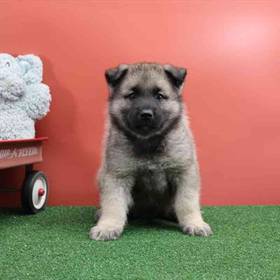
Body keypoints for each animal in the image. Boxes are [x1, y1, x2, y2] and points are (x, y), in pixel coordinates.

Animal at [89, 63, 212, 241]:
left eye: (159, 96)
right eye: (132, 95)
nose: (146, 114)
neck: (149, 142)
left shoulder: (184, 172)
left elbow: (186, 202)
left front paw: (195, 223)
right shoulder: (117, 176)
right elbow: (114, 204)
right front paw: (108, 226)